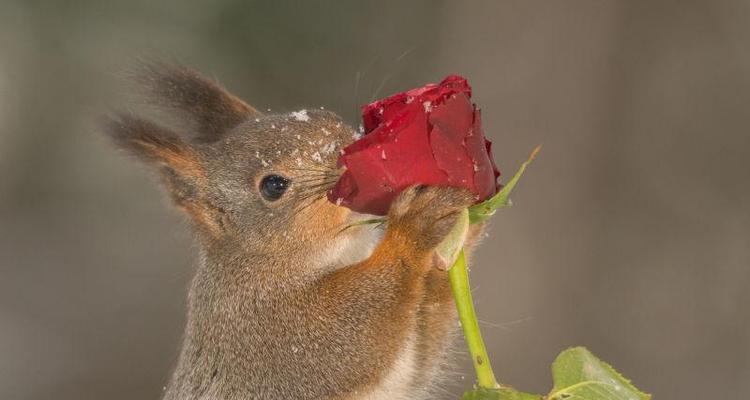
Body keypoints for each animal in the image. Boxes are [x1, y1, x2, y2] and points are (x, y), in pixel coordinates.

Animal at [106, 64, 488, 398]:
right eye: (273, 185)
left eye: (327, 117)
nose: (348, 155)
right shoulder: (268, 332)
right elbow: (354, 338)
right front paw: (415, 225)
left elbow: (423, 349)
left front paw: (466, 225)